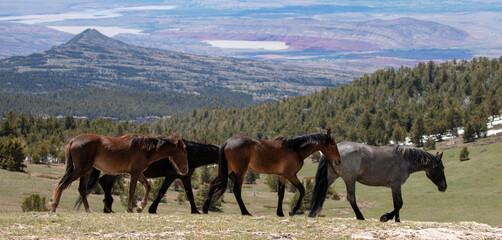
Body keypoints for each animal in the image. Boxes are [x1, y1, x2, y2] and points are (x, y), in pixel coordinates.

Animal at [49, 134, 188, 213]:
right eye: (184, 151)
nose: (185, 170)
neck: (145, 148)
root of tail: (73, 140)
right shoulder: (135, 173)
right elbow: (132, 190)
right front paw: (130, 208)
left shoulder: (138, 172)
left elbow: (148, 186)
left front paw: (140, 206)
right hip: (81, 169)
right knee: (62, 184)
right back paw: (54, 206)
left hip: (86, 171)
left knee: (82, 190)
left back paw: (88, 210)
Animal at [75, 139, 219, 214]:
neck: (191, 153)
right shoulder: (171, 176)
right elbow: (161, 192)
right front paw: (152, 209)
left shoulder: (185, 178)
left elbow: (190, 194)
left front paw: (195, 211)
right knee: (104, 182)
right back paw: (109, 206)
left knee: (105, 183)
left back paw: (107, 207)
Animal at [203, 129, 342, 218]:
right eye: (333, 144)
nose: (338, 160)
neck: (295, 149)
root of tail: (227, 142)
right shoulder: (291, 175)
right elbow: (302, 190)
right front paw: (293, 211)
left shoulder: (282, 176)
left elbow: (281, 194)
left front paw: (280, 212)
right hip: (240, 171)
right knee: (236, 190)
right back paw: (245, 212)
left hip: (229, 169)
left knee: (213, 184)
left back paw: (205, 209)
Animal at [310, 142, 448, 222]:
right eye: (442, 167)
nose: (444, 187)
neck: (405, 159)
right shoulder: (396, 185)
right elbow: (399, 204)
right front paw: (386, 217)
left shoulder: (394, 186)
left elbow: (396, 204)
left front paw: (397, 220)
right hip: (349, 179)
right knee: (351, 198)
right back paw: (360, 217)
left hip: (331, 177)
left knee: (320, 193)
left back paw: (312, 213)